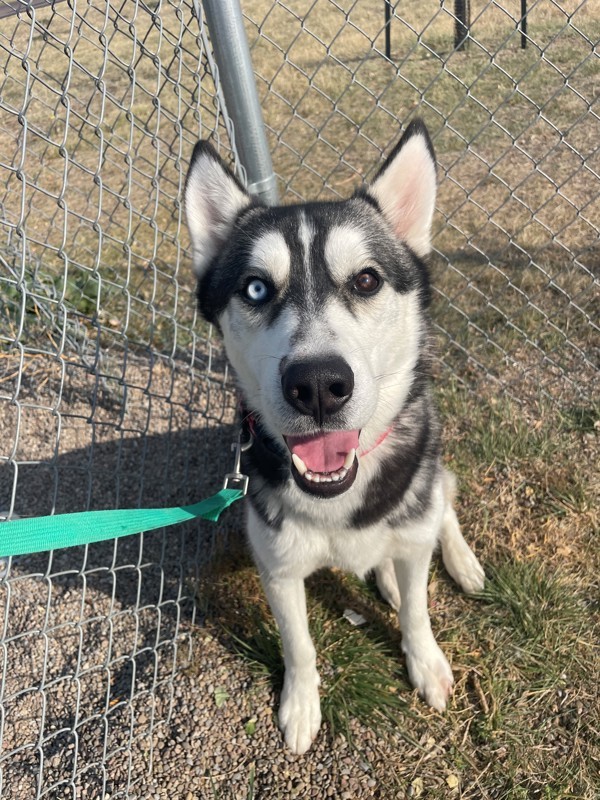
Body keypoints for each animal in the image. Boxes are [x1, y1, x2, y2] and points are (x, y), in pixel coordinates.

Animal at [185, 120, 486, 756]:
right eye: (255, 289)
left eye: (366, 279)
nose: (318, 385)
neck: (338, 500)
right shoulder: (278, 569)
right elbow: (299, 645)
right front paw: (300, 706)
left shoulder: (413, 528)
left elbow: (419, 612)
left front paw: (426, 663)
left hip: (429, 481)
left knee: (441, 510)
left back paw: (458, 563)